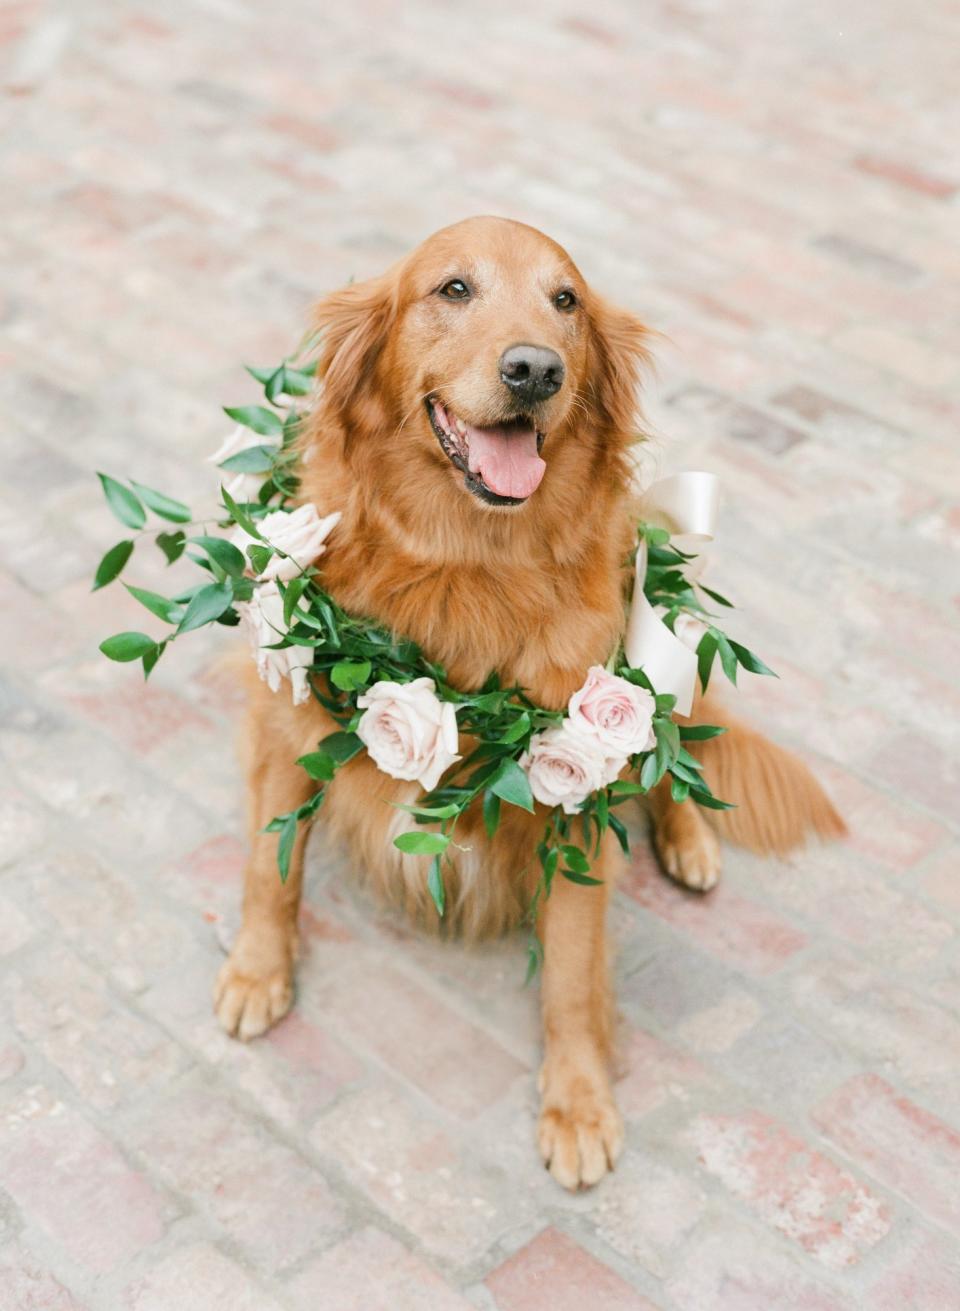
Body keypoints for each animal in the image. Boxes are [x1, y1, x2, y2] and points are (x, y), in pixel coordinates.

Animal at [213, 215, 844, 1190]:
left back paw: (692, 840)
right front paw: (257, 972)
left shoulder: (577, 781)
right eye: (453, 288)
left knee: (676, 758)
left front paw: (578, 1104)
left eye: (566, 301)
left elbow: (573, 978)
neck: (468, 566)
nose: (535, 370)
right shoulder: (296, 716)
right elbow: (269, 869)